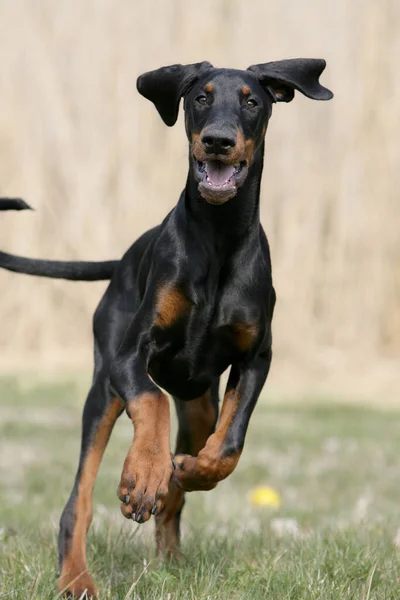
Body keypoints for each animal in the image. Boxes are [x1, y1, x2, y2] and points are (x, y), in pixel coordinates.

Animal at [0, 59, 332, 596]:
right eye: (200, 97)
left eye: (251, 101)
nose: (217, 140)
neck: (219, 236)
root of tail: (121, 261)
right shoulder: (129, 355)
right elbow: (150, 401)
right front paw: (142, 475)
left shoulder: (257, 357)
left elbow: (229, 445)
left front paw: (185, 471)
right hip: (103, 389)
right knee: (78, 502)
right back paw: (78, 576)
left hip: (198, 404)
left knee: (181, 486)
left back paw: (172, 536)